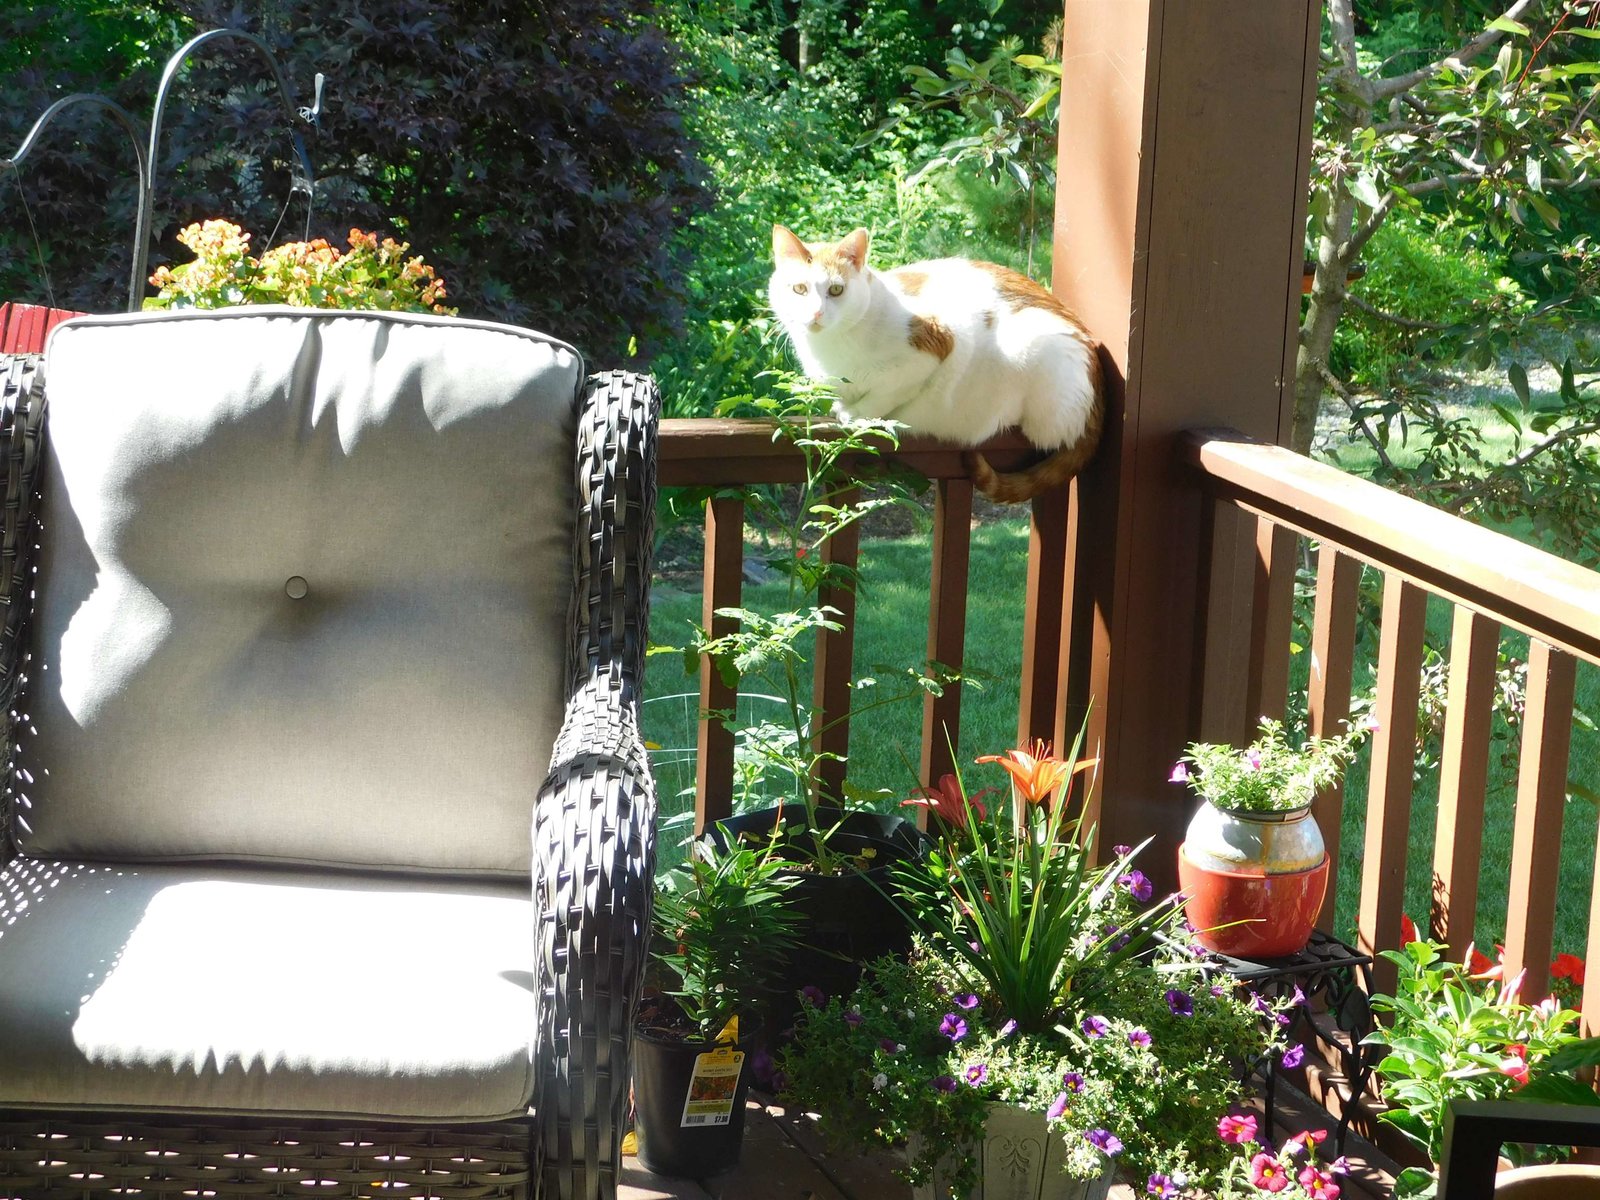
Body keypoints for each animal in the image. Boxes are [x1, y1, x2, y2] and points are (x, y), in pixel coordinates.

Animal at [771, 225, 1100, 502]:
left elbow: (884, 394)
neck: (831, 348)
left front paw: (855, 414)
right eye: (799, 289)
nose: (815, 314)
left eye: (836, 290)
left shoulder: (937, 345)